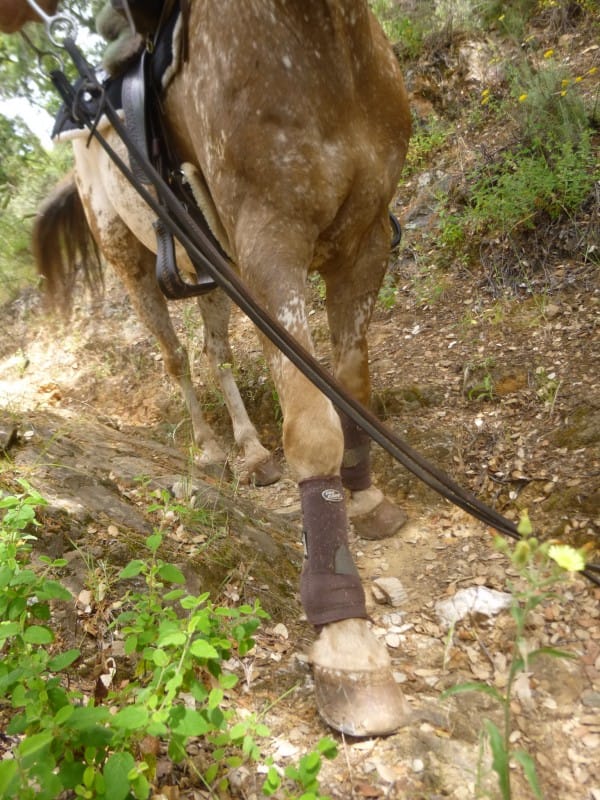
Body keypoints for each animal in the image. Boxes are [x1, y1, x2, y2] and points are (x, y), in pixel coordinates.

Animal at [1, 0, 412, 736]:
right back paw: (214, 450)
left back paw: (250, 452)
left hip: (216, 274)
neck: (320, 48)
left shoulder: (364, 243)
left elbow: (353, 385)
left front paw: (364, 494)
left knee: (216, 354)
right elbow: (314, 427)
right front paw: (345, 632)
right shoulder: (272, 251)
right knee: (176, 360)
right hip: (135, 270)